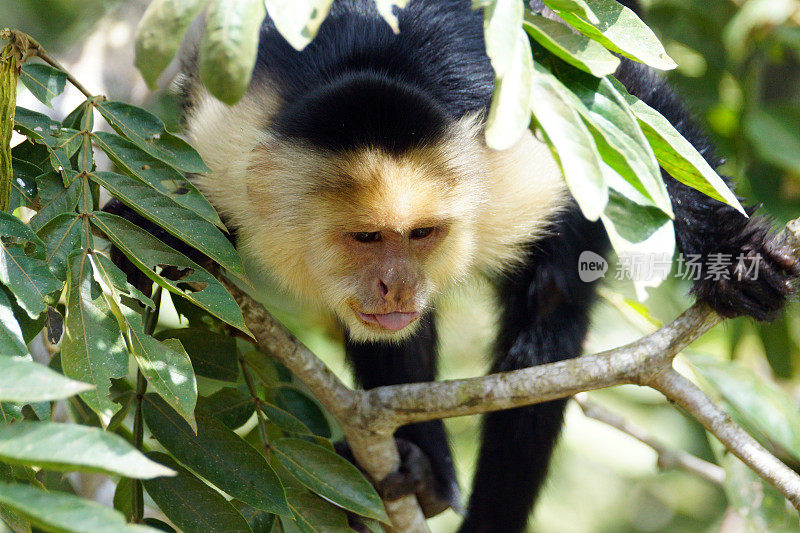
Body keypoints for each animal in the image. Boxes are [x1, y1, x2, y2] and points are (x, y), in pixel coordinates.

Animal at [104, 0, 800, 528]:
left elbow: (627, 101)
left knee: (549, 316)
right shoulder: (226, 151)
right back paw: (420, 465)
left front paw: (737, 254)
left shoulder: (513, 145)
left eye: (421, 235)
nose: (395, 283)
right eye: (365, 238)